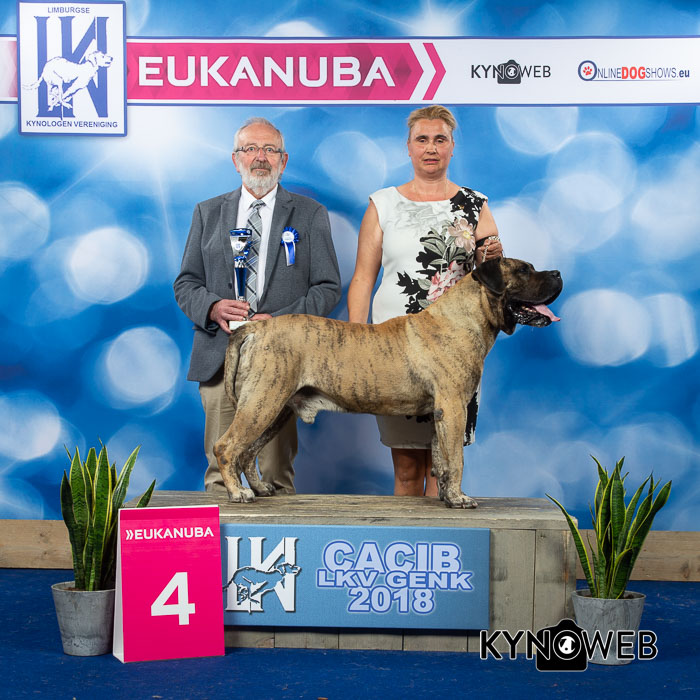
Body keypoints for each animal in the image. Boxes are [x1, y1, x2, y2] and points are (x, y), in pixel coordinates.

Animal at [213, 257, 562, 508]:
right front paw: (460, 498)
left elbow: (443, 459)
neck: (467, 317)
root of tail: (256, 328)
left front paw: (447, 496)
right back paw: (238, 493)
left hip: (273, 408)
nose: (558, 273)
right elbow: (457, 459)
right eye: (524, 270)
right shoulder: (453, 409)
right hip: (263, 401)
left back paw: (259, 488)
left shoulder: (442, 414)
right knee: (227, 446)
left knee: (247, 452)